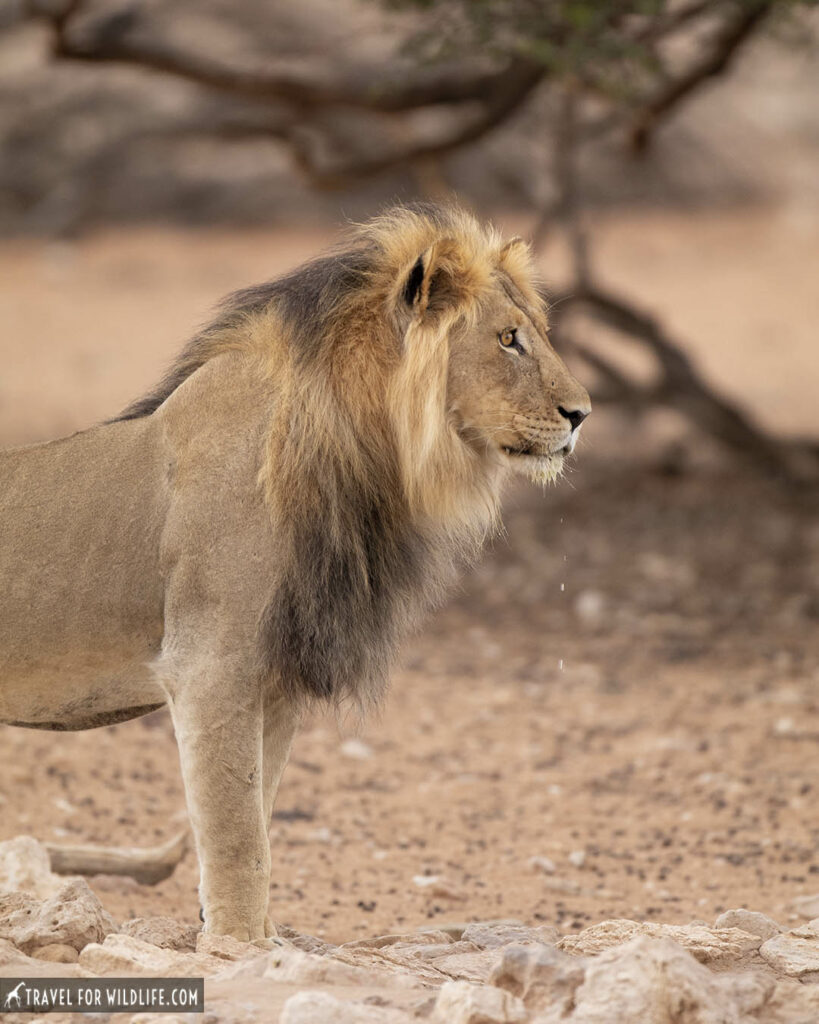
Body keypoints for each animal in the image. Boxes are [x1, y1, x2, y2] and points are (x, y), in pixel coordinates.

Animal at [0, 203, 589, 937]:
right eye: (508, 339)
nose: (582, 414)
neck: (364, 455)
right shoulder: (210, 666)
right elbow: (236, 836)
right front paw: (236, 945)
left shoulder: (275, 678)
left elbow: (259, 817)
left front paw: (257, 940)